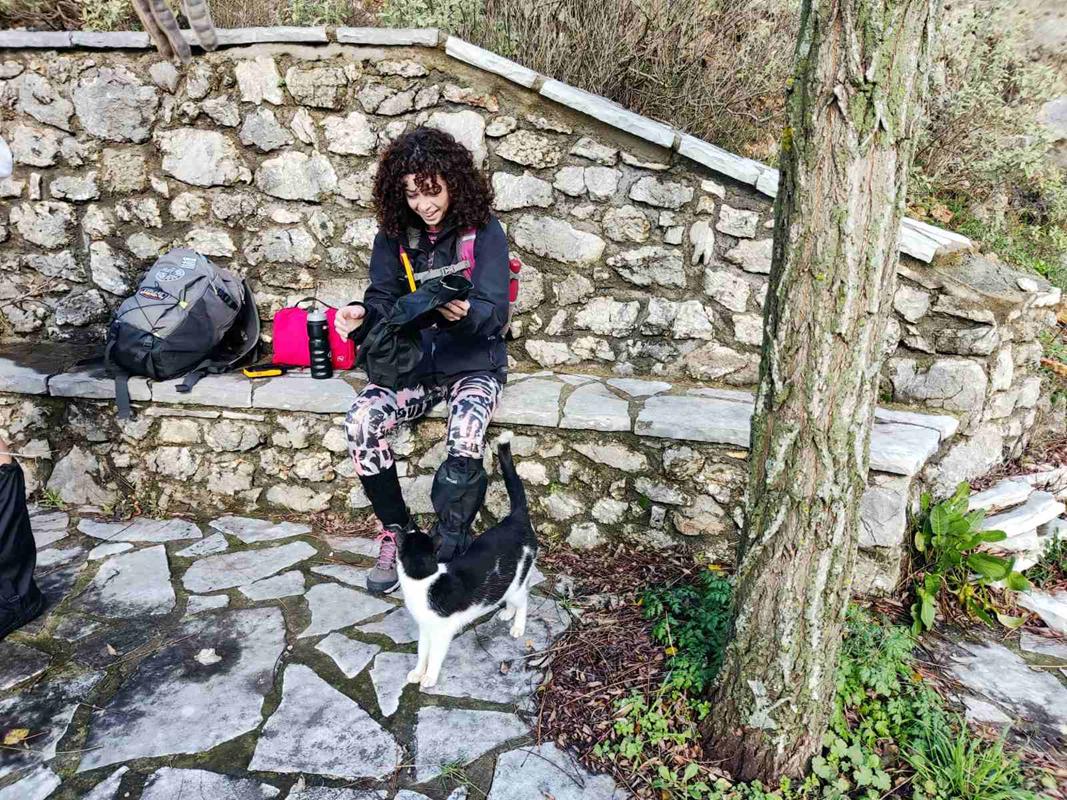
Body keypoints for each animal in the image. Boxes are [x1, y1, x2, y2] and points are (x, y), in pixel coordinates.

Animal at [396, 433, 538, 690]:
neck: (424, 580)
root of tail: (515, 517)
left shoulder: (442, 632)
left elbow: (434, 656)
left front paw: (429, 677)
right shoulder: (425, 628)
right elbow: (422, 652)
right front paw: (417, 672)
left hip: (519, 578)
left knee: (523, 599)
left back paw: (518, 625)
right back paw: (507, 613)